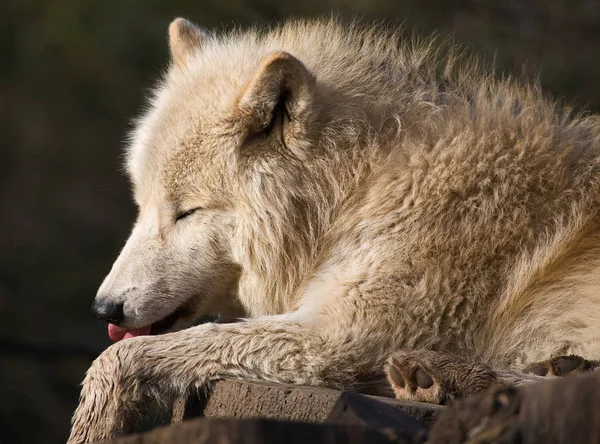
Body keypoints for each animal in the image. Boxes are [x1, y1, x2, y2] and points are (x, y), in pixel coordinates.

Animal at [68, 18, 600, 444]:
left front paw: (93, 424)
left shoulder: (333, 336)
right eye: (142, 206)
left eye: (187, 213)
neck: (364, 186)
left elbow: (126, 354)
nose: (104, 308)